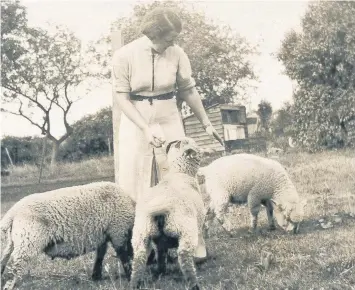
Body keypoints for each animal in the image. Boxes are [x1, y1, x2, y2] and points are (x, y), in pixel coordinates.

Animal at [0, 181, 136, 290]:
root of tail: (13, 212)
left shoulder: (104, 235)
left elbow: (100, 255)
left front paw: (96, 276)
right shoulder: (118, 231)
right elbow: (123, 256)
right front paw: (130, 276)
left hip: (15, 240)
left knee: (4, 259)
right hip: (28, 240)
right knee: (15, 267)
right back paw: (9, 286)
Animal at [130, 137, 209, 290]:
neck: (180, 173)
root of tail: (161, 207)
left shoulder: (160, 241)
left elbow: (161, 253)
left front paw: (161, 269)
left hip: (141, 233)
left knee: (139, 259)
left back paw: (138, 282)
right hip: (185, 230)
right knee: (184, 256)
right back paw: (194, 283)